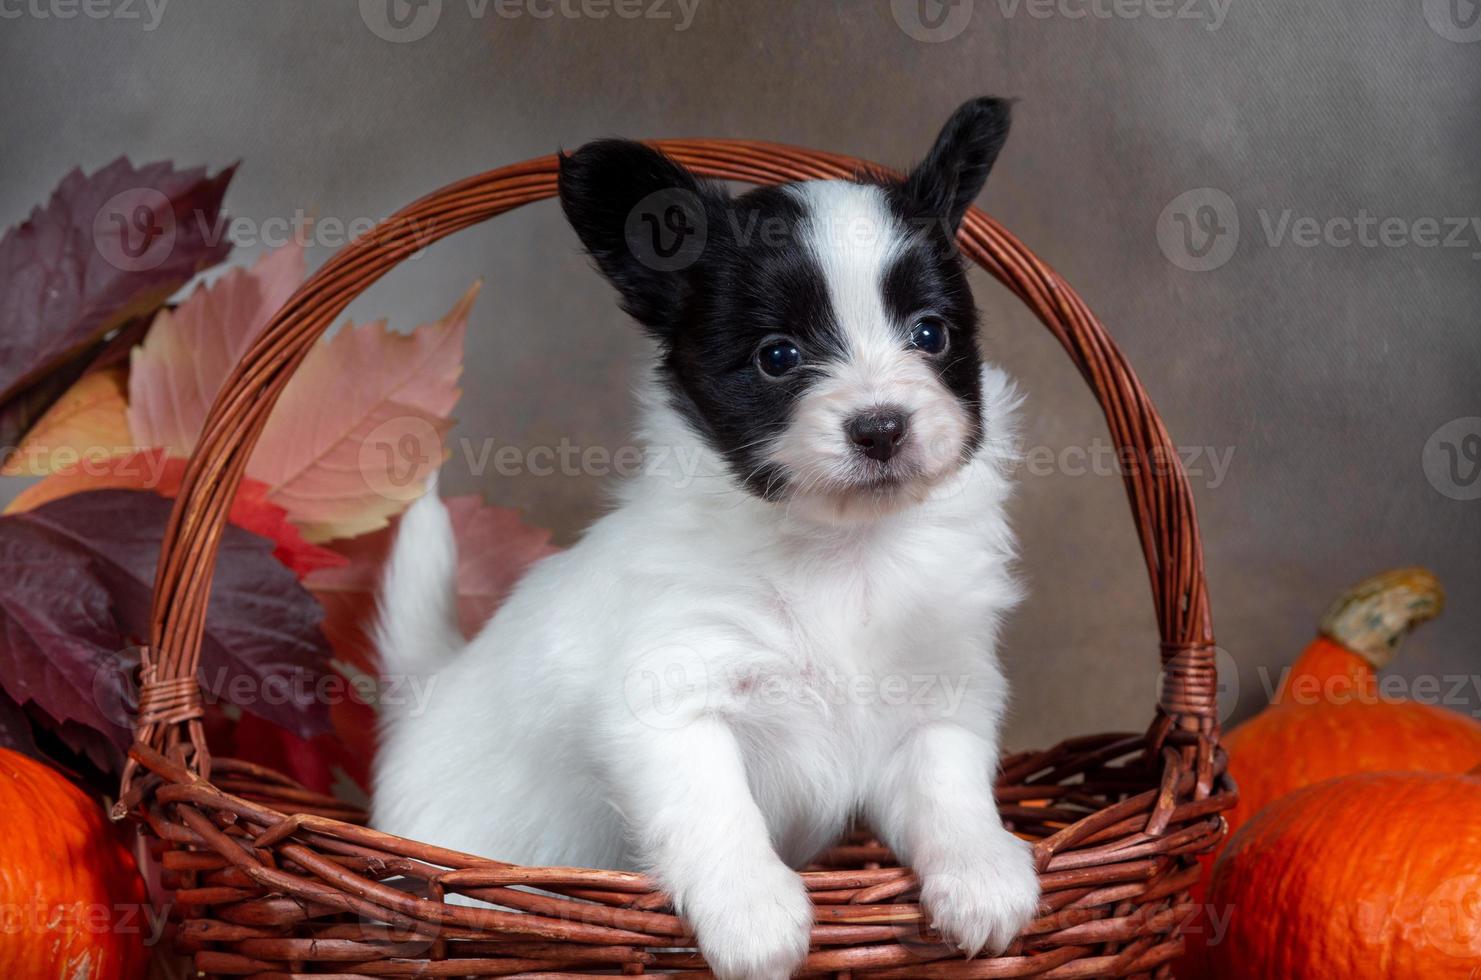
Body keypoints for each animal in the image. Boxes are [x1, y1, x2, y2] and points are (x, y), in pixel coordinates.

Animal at [370, 97, 1042, 980]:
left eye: (931, 336)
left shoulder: (938, 696)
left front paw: (984, 873)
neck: (842, 552)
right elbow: (713, 807)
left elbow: (949, 786)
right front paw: (752, 912)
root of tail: (427, 690)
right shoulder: (672, 702)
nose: (880, 427)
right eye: (777, 357)